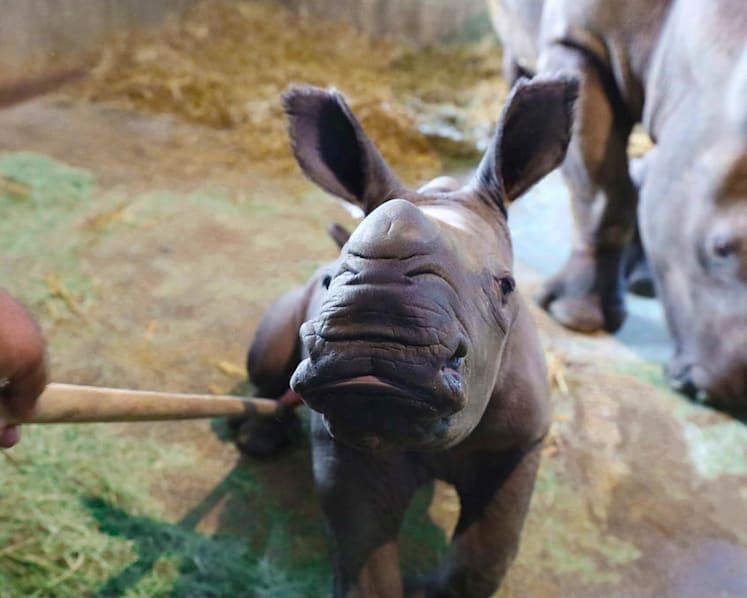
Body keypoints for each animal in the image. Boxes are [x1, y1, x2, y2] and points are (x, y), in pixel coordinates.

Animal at [235, 78, 578, 597]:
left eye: (507, 286)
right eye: (330, 282)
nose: (376, 346)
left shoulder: (519, 442)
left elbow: (482, 559)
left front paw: (427, 586)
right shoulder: (347, 445)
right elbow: (364, 563)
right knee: (267, 356)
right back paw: (257, 440)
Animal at [489, 0, 747, 407]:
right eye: (720, 248)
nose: (733, 397)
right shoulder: (580, 43)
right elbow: (602, 190)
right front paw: (574, 318)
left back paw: (643, 281)